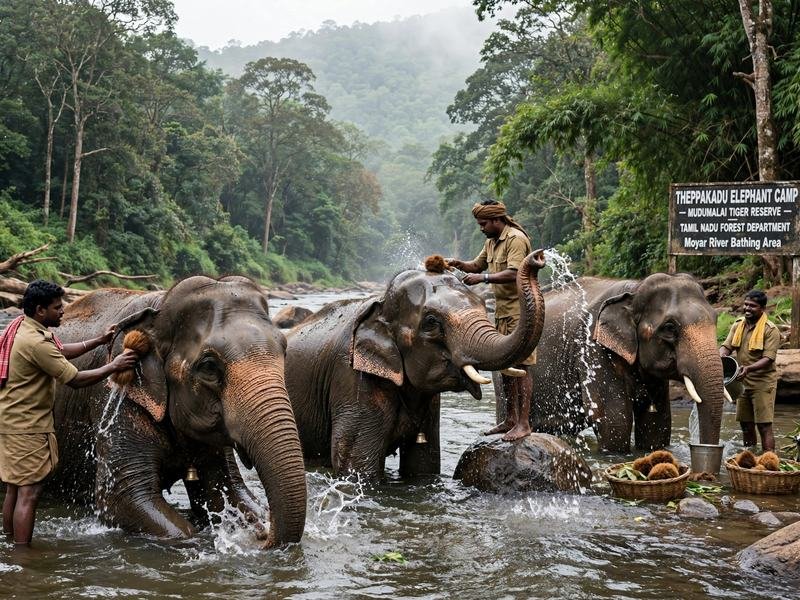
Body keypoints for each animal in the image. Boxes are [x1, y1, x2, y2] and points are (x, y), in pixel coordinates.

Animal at [47, 276, 307, 547]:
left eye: (285, 350)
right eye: (209, 366)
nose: (263, 536)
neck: (159, 308)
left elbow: (226, 491)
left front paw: (252, 520)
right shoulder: (115, 395)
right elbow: (121, 496)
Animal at [284, 251, 546, 480]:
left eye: (483, 304)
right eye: (431, 322)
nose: (538, 257)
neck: (380, 304)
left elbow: (423, 466)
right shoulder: (352, 378)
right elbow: (358, 467)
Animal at [529, 272, 725, 452]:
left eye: (716, 319)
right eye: (669, 328)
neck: (634, 290)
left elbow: (656, 422)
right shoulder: (593, 349)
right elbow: (615, 418)